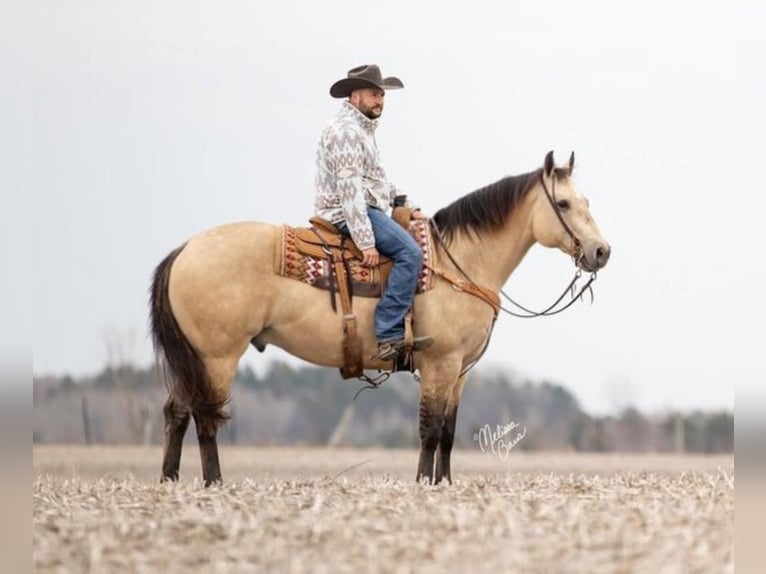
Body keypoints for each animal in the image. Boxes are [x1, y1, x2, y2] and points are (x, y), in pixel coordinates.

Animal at [152, 152, 612, 486]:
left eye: (588, 201)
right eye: (564, 203)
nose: (601, 251)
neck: (460, 263)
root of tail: (184, 249)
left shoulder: (460, 371)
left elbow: (448, 431)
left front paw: (444, 485)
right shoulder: (440, 363)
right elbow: (430, 428)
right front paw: (423, 485)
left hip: (193, 359)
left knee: (176, 411)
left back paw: (170, 482)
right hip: (217, 357)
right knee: (206, 417)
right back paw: (213, 483)